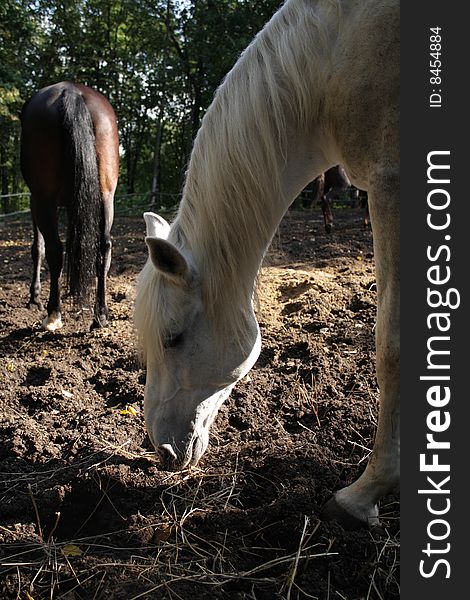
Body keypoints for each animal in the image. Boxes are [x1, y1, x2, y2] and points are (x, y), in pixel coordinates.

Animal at [20, 81, 119, 330]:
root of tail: (71, 91)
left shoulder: (36, 201)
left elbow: (38, 248)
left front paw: (34, 297)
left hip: (42, 200)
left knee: (55, 250)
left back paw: (53, 313)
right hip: (106, 196)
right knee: (103, 248)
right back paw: (100, 315)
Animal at [134, 0, 398, 528]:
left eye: (172, 339)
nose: (161, 450)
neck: (329, 56)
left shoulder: (392, 184)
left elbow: (392, 347)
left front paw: (362, 496)